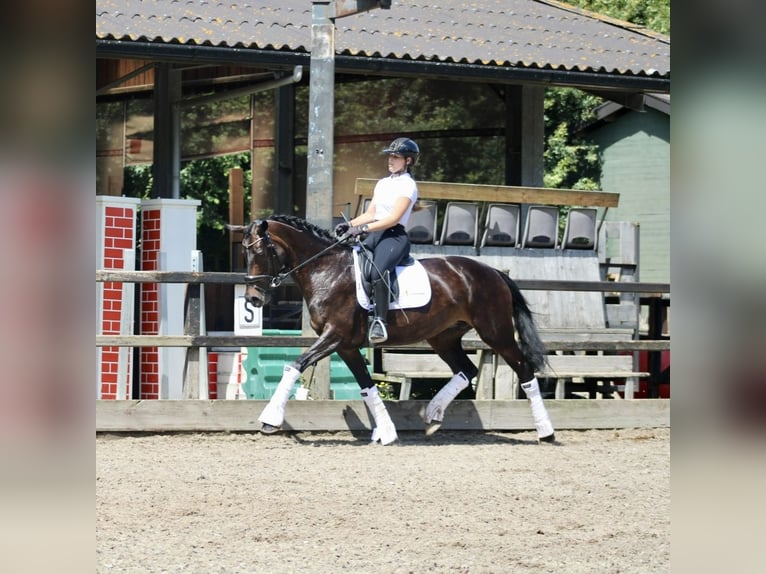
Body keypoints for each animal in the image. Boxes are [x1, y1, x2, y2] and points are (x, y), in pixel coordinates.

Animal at [226, 216, 552, 446]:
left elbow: (295, 365)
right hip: (443, 337)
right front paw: (387, 432)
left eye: (260, 251)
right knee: (466, 369)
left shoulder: (334, 336)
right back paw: (433, 414)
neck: (326, 270)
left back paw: (546, 432)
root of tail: (493, 272)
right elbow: (366, 385)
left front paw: (269, 420)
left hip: (495, 333)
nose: (253, 299)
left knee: (524, 370)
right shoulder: (345, 345)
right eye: (243, 252)